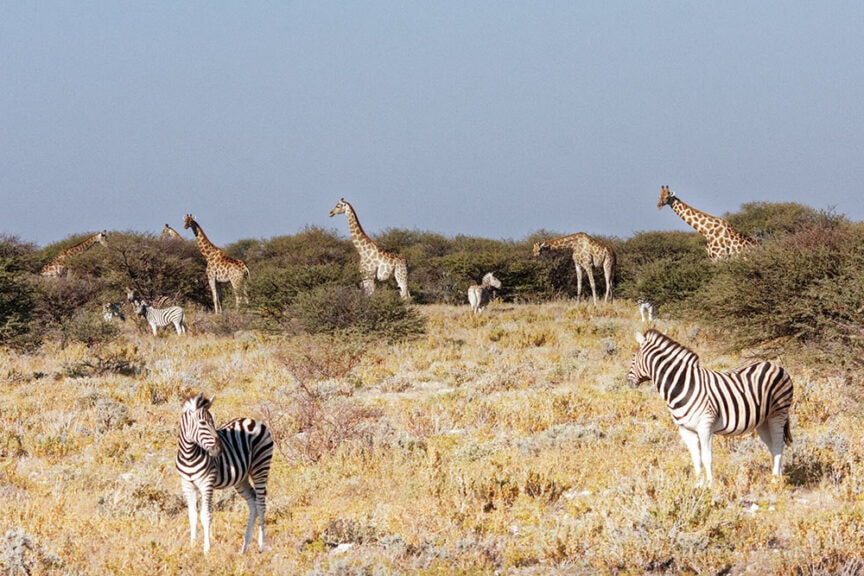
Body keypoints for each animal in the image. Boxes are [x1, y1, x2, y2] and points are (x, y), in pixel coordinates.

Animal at [176, 393, 274, 554]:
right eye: (203, 423)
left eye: (213, 422)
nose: (219, 450)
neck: (189, 455)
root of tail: (253, 420)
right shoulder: (187, 484)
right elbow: (192, 516)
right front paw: (192, 547)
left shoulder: (207, 483)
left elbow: (205, 515)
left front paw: (206, 550)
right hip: (241, 478)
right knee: (252, 502)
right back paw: (245, 546)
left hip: (261, 467)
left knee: (261, 504)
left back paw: (261, 544)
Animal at [626, 329, 793, 486]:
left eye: (633, 357)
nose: (627, 381)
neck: (683, 386)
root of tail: (774, 365)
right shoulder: (686, 430)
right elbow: (696, 459)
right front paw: (698, 486)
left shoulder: (705, 426)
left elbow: (707, 457)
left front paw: (710, 486)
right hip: (763, 421)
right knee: (772, 446)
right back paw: (776, 477)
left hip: (778, 414)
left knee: (779, 444)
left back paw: (775, 481)